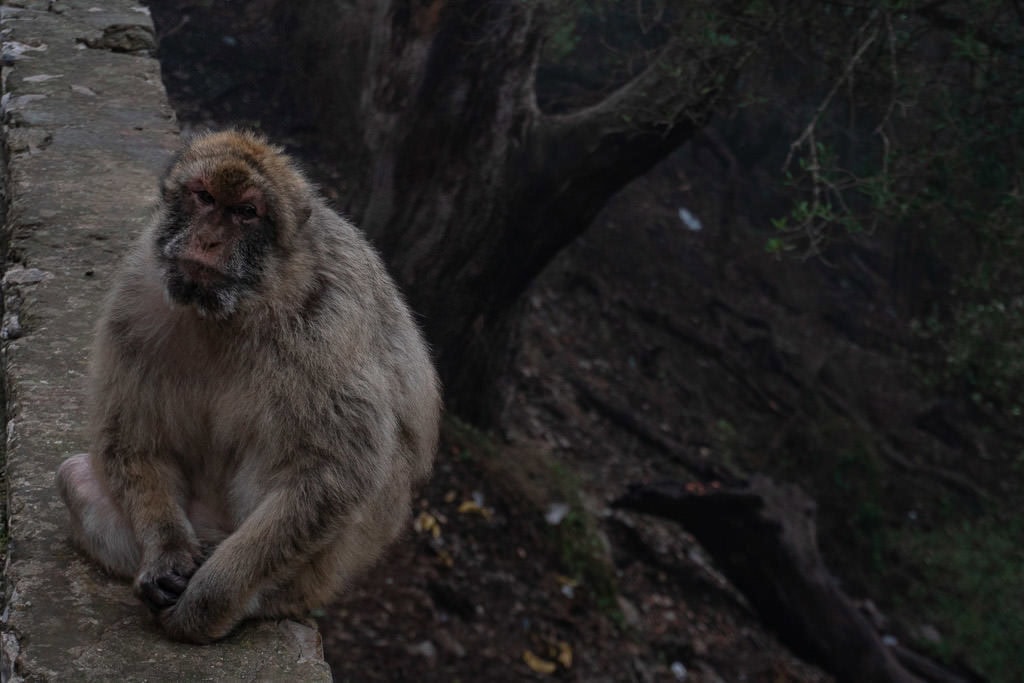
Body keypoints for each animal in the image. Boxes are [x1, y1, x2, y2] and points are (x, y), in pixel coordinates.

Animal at [56, 131, 440, 643]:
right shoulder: (135, 298)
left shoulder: (327, 323)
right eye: (204, 197)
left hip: (317, 572)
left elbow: (335, 472)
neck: (235, 310)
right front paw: (166, 557)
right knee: (74, 477)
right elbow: (134, 442)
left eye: (245, 212)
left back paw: (246, 599)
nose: (208, 239)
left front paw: (207, 600)